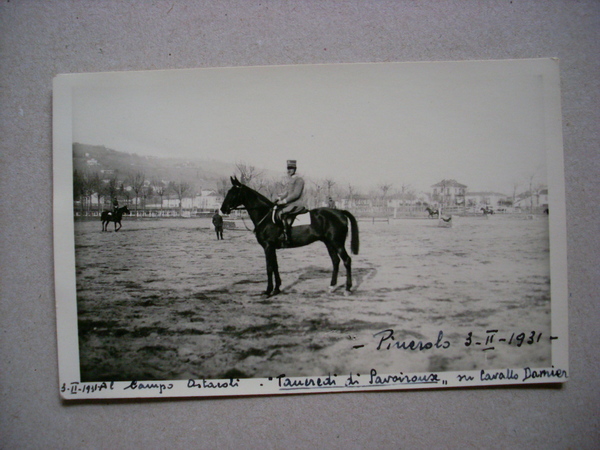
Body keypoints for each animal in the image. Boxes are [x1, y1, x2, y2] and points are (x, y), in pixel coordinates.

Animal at [221, 178, 358, 298]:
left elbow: (269, 267)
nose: (223, 209)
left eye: (233, 193)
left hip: (337, 243)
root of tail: (340, 212)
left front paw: (268, 291)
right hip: (329, 243)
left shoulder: (268, 246)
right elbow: (275, 266)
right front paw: (277, 289)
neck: (265, 215)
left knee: (347, 260)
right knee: (335, 261)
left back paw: (347, 289)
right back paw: (332, 287)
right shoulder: (272, 248)